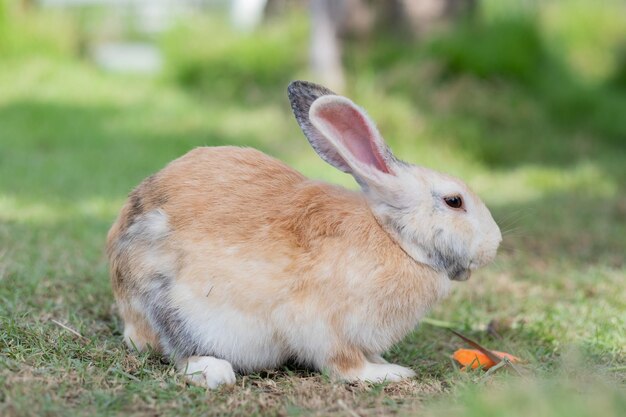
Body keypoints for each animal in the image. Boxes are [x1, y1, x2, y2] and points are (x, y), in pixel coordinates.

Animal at [106, 80, 498, 386]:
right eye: (454, 201)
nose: (495, 244)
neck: (394, 239)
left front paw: (386, 364)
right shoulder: (323, 326)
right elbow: (343, 365)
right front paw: (389, 374)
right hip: (168, 301)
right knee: (176, 350)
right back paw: (214, 371)